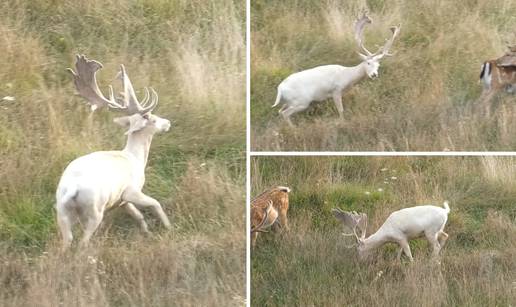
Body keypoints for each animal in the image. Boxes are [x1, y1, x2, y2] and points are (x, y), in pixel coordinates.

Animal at [55, 54, 171, 250]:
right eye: (152, 119)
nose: (168, 123)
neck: (135, 158)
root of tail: (72, 188)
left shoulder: (120, 200)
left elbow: (138, 215)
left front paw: (147, 232)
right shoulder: (131, 190)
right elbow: (155, 203)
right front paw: (169, 227)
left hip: (61, 210)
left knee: (66, 241)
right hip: (94, 210)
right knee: (83, 242)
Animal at [272, 12, 402, 127]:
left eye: (378, 66)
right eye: (368, 62)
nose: (374, 75)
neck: (346, 76)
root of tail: (280, 89)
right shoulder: (336, 90)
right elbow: (341, 110)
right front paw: (342, 123)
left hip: (289, 101)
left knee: (280, 111)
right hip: (301, 101)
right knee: (285, 113)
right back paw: (294, 130)